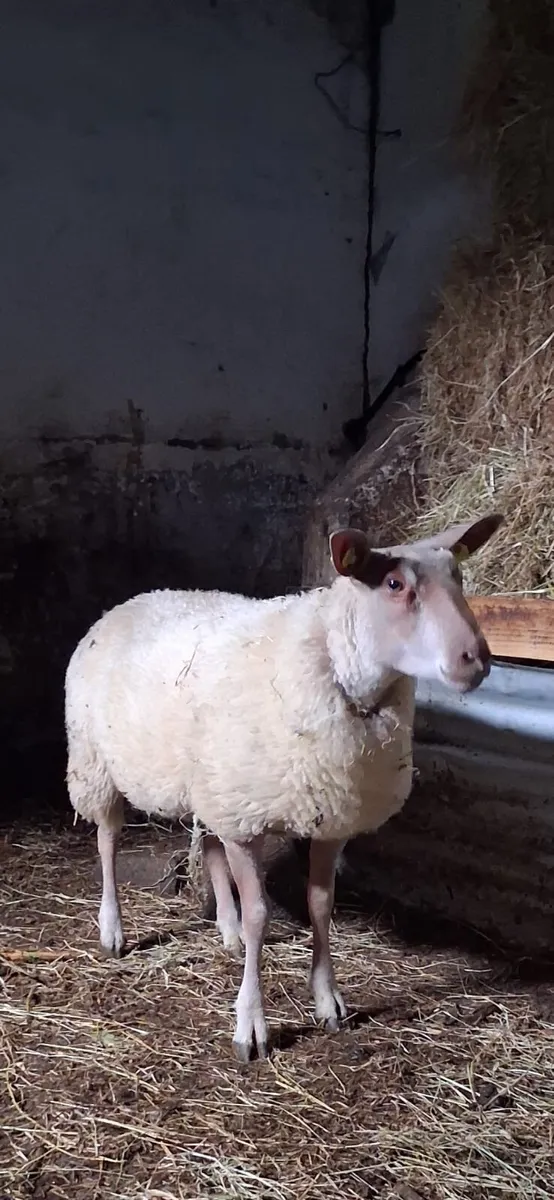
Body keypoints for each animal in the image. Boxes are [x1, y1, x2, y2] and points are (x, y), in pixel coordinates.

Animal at [65, 512, 502, 1061]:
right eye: (394, 585)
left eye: (458, 576)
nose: (475, 659)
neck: (334, 664)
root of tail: (130, 601)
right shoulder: (246, 819)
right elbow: (260, 915)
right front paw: (251, 1024)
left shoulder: (326, 814)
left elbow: (321, 906)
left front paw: (328, 1000)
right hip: (97, 765)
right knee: (107, 841)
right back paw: (113, 929)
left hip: (211, 787)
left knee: (209, 845)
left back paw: (227, 932)